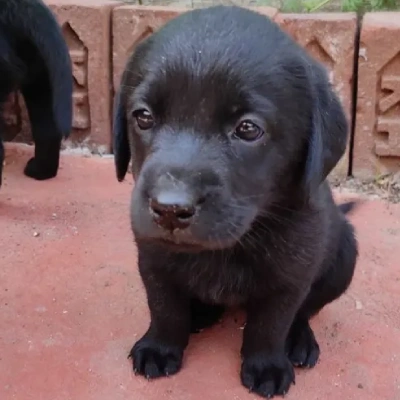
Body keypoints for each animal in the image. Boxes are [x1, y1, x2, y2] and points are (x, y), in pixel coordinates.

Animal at [113, 4, 360, 398]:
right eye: (144, 117)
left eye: (247, 129)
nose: (170, 209)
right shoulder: (152, 258)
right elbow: (164, 307)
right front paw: (160, 346)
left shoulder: (292, 275)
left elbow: (271, 324)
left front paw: (267, 365)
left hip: (344, 257)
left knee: (306, 311)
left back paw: (300, 340)